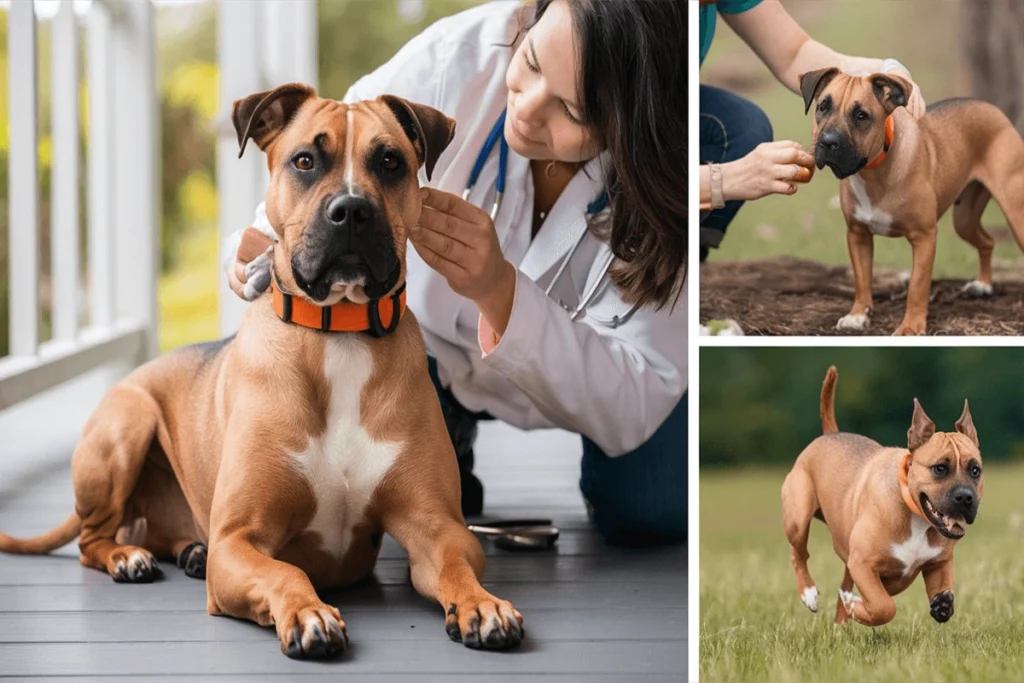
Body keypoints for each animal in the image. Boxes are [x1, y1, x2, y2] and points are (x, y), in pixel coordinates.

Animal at [0, 82, 524, 659]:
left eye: (390, 162)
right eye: (305, 160)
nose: (351, 210)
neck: (338, 332)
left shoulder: (439, 527)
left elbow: (455, 566)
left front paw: (482, 604)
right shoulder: (239, 540)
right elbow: (285, 573)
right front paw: (309, 612)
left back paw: (188, 550)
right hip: (127, 424)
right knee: (93, 538)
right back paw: (127, 558)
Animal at [782, 366, 983, 626]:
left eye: (975, 470)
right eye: (940, 468)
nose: (965, 497)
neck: (915, 514)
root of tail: (830, 434)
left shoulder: (938, 563)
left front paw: (942, 604)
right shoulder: (862, 563)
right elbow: (883, 606)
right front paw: (855, 607)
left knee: (842, 583)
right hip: (798, 519)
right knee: (798, 553)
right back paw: (809, 593)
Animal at [798, 68, 1024, 335]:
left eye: (861, 116)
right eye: (823, 106)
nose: (828, 142)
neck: (873, 171)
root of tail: (993, 109)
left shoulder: (924, 237)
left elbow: (918, 285)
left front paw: (911, 327)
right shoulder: (858, 234)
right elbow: (862, 278)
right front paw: (858, 314)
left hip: (1015, 210)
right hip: (965, 219)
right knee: (987, 241)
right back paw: (983, 285)